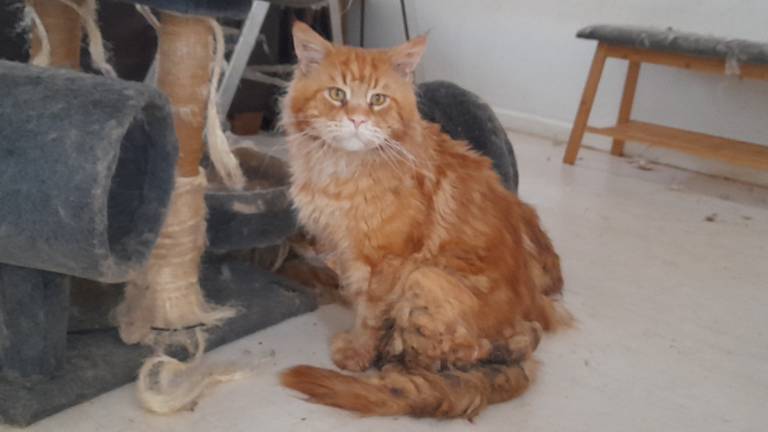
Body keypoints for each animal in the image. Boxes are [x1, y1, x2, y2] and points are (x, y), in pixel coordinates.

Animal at [280, 21, 568, 418]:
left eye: (378, 99)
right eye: (337, 94)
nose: (356, 119)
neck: (346, 168)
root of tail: (525, 341)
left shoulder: (385, 263)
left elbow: (368, 316)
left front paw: (356, 353)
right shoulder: (343, 251)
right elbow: (346, 288)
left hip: (425, 278)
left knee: (451, 355)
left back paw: (395, 365)